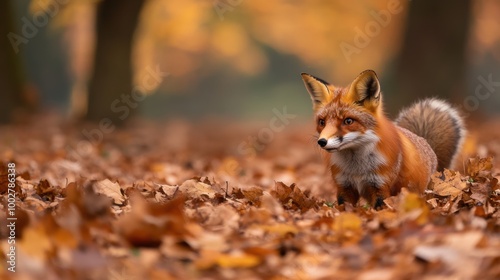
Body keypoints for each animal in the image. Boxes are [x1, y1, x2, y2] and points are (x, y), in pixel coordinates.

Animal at [300, 69, 464, 208]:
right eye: (322, 122)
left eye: (348, 121)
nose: (322, 142)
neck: (357, 169)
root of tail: (424, 141)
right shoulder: (344, 187)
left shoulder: (380, 187)